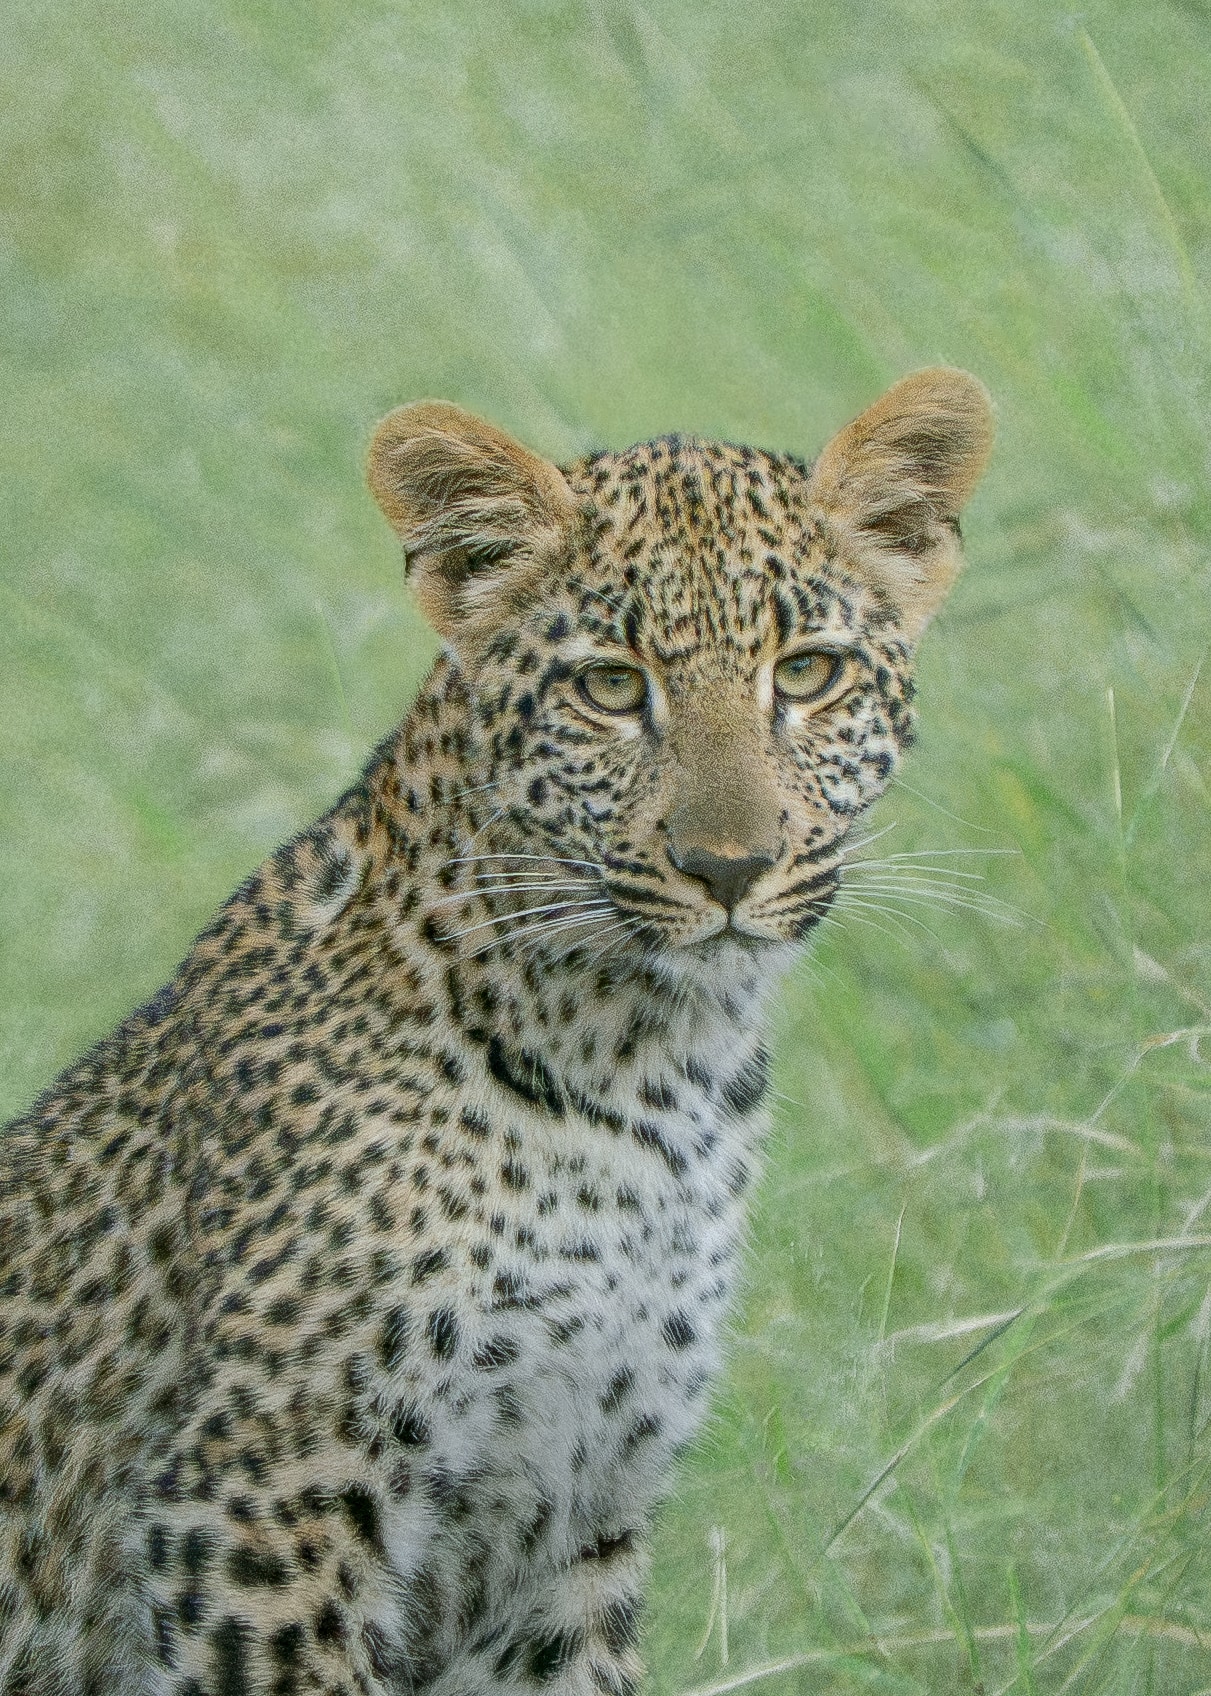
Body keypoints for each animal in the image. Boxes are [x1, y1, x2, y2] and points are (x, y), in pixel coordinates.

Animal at [0, 368, 992, 1696]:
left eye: (808, 672)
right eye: (610, 686)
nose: (728, 867)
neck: (652, 1070)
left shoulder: (572, 1519)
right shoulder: (259, 1506)